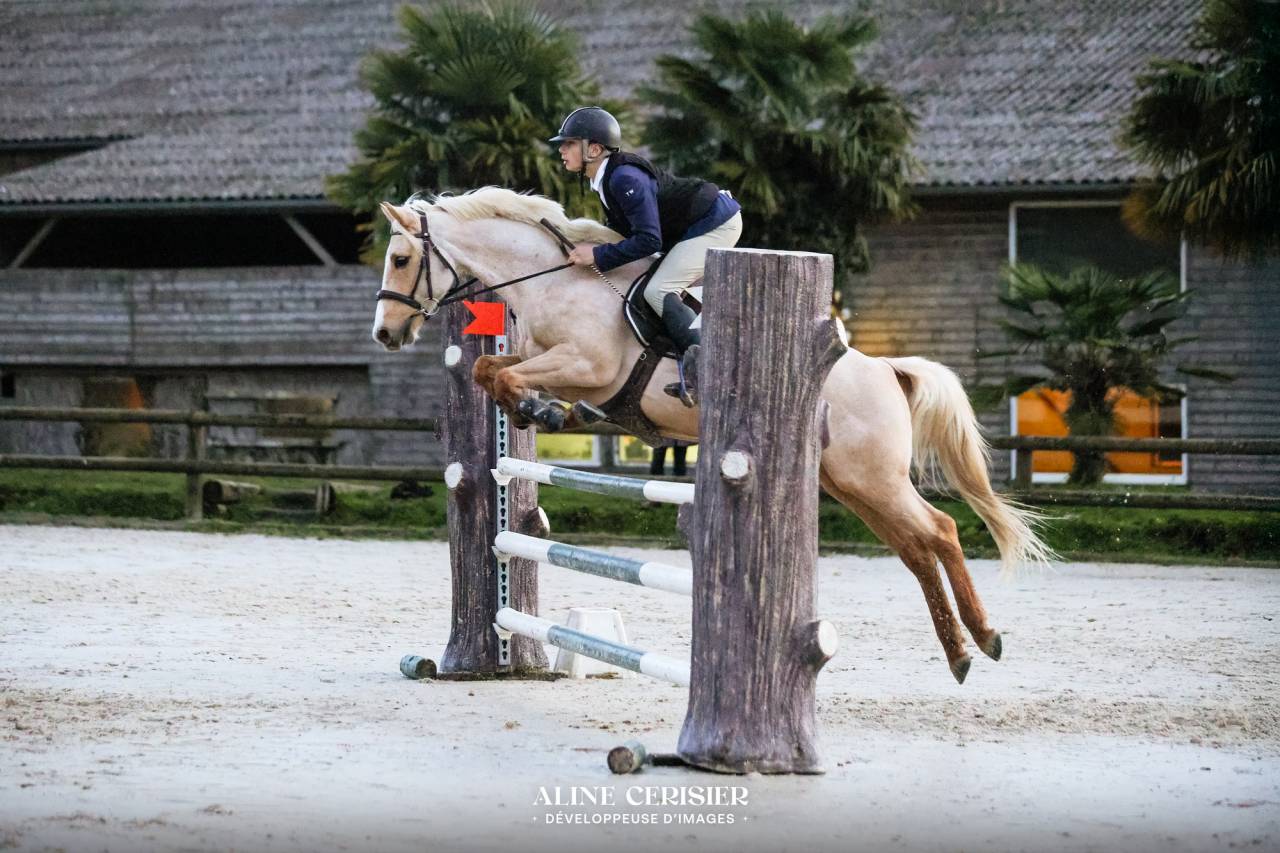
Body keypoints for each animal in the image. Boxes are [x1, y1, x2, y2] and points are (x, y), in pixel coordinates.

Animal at [371, 187, 1052, 684]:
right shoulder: (548, 359)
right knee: (917, 547)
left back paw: (985, 638)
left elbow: (502, 373)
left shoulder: (587, 367)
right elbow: (490, 372)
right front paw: (538, 412)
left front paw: (546, 411)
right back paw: (961, 652)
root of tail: (886, 368)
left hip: (871, 476)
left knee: (941, 530)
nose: (385, 333)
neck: (552, 280)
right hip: (850, 483)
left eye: (401, 259)